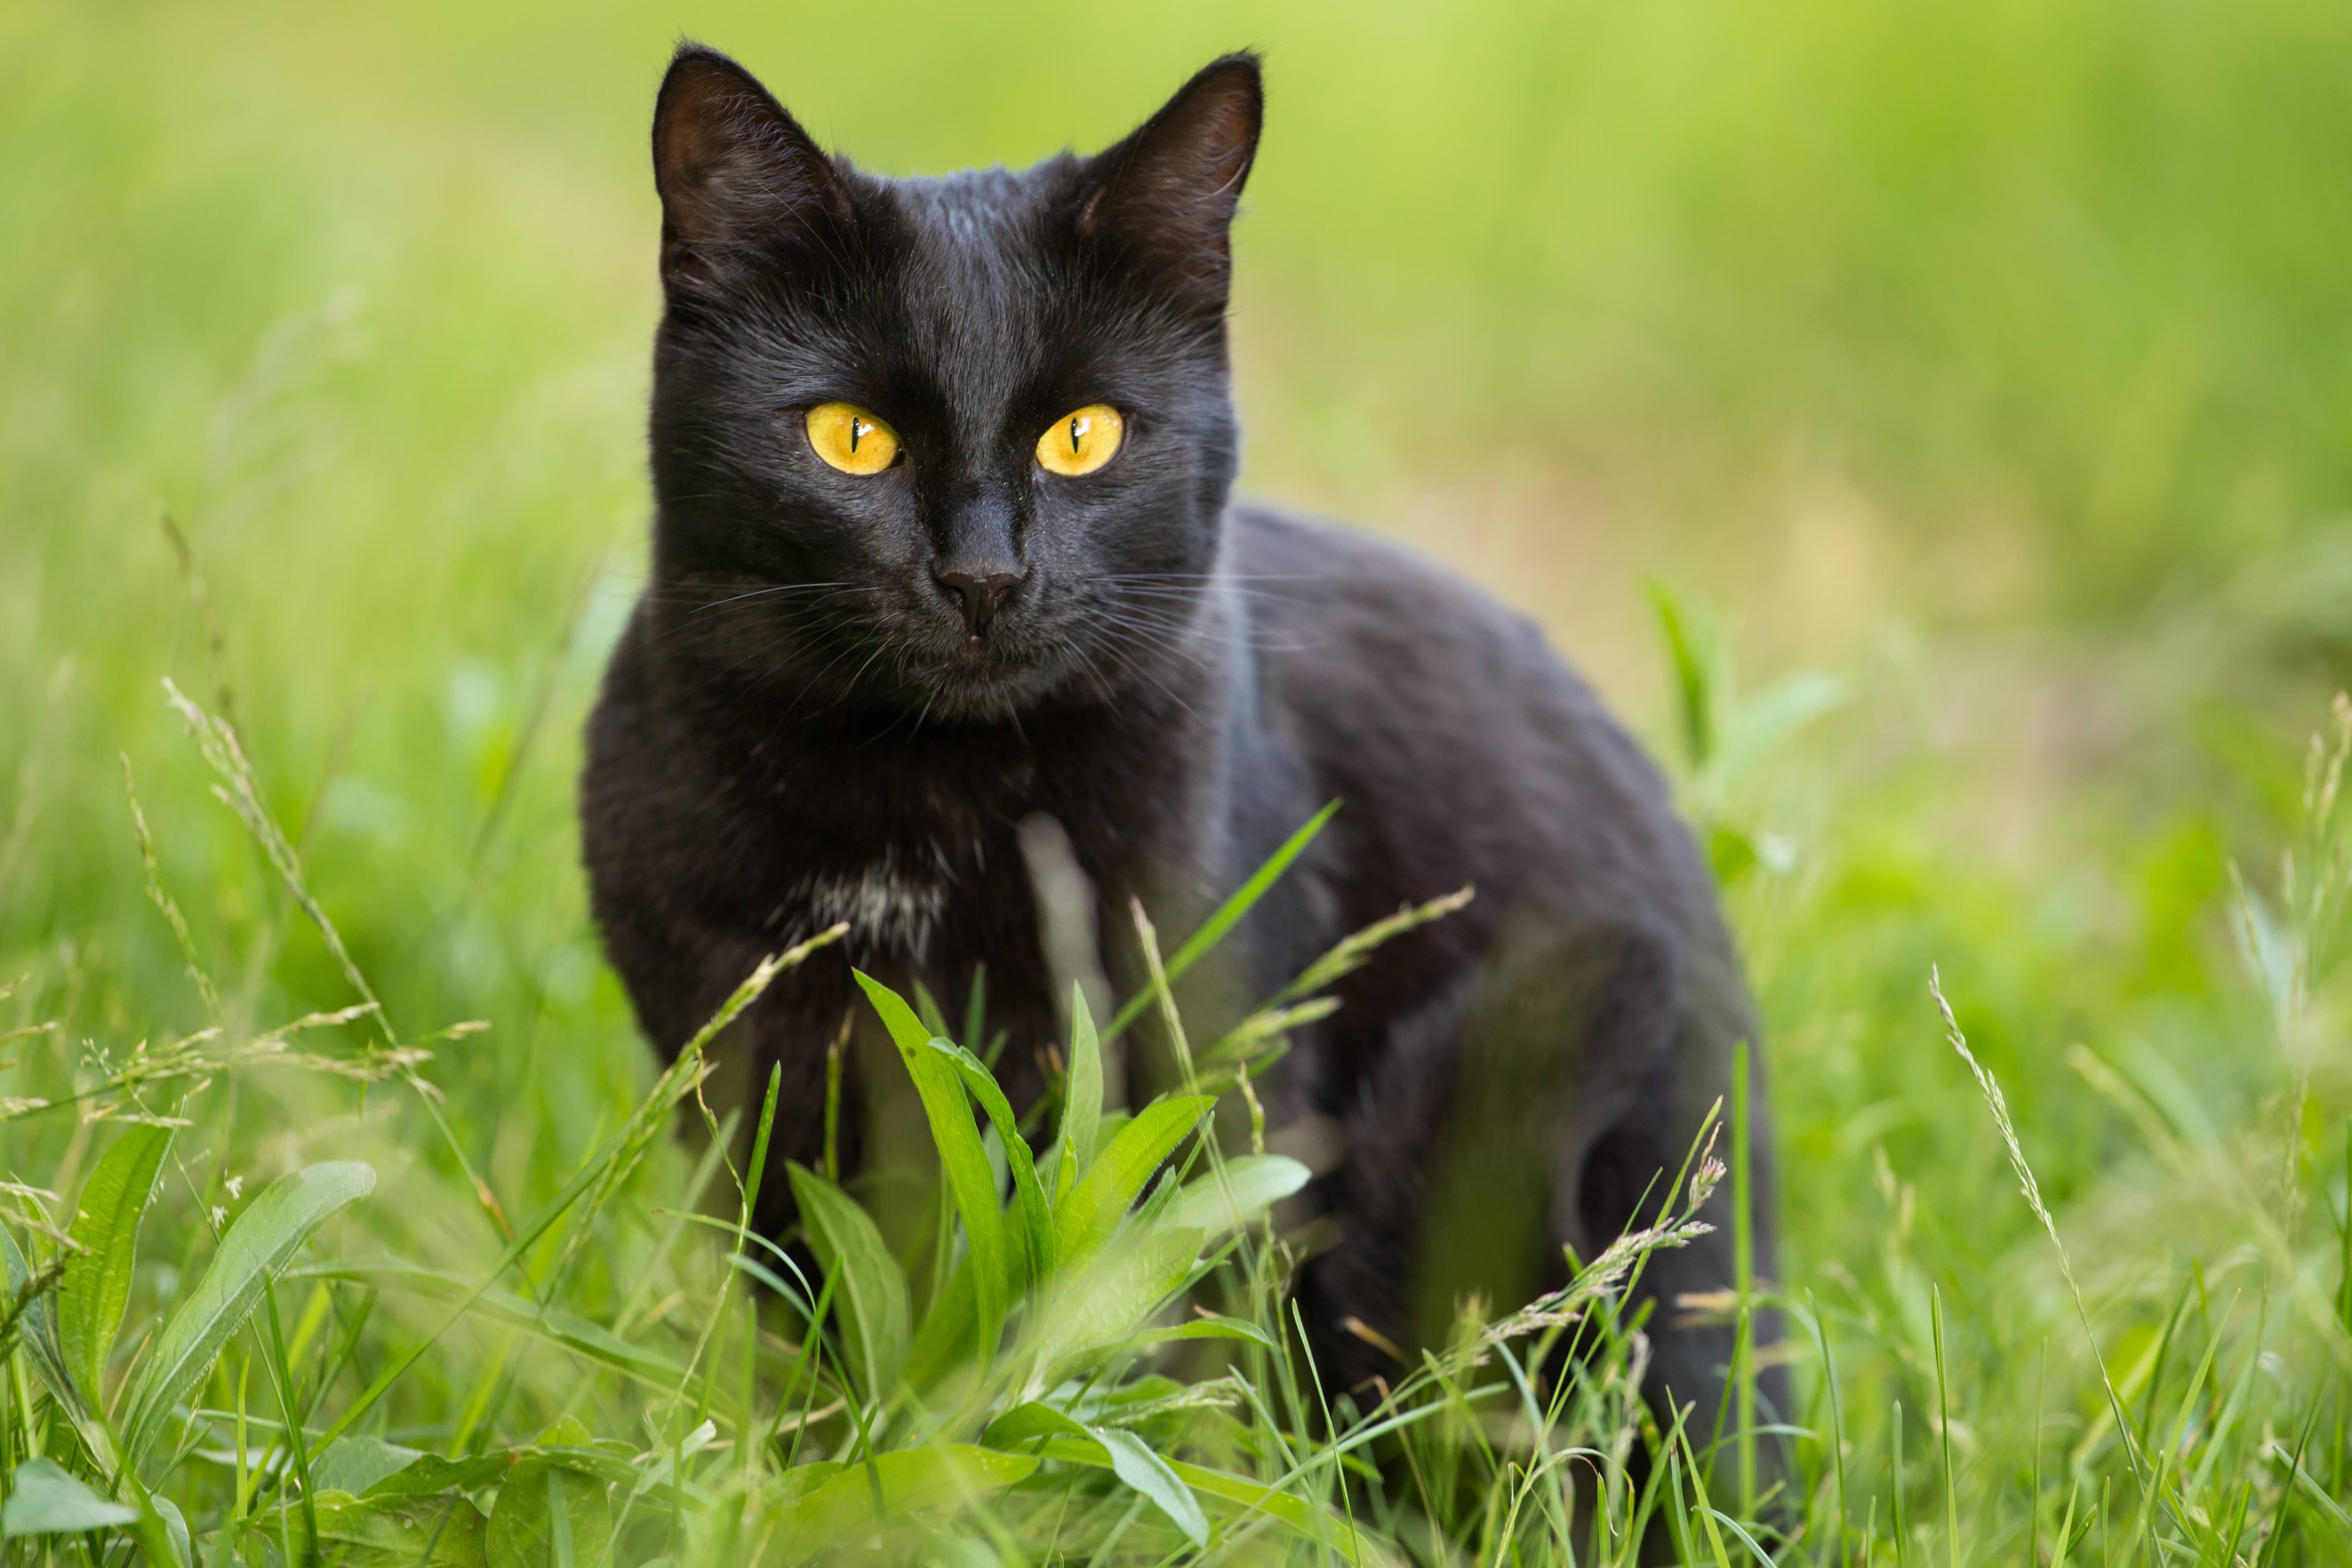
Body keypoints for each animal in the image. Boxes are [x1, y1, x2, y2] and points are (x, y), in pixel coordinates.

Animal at [588, 40, 1778, 1439]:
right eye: (851, 438)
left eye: (1084, 436)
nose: (983, 574)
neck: (924, 814)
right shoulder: (745, 1088)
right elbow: (811, 1321)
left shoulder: (1212, 1075)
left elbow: (1171, 1338)